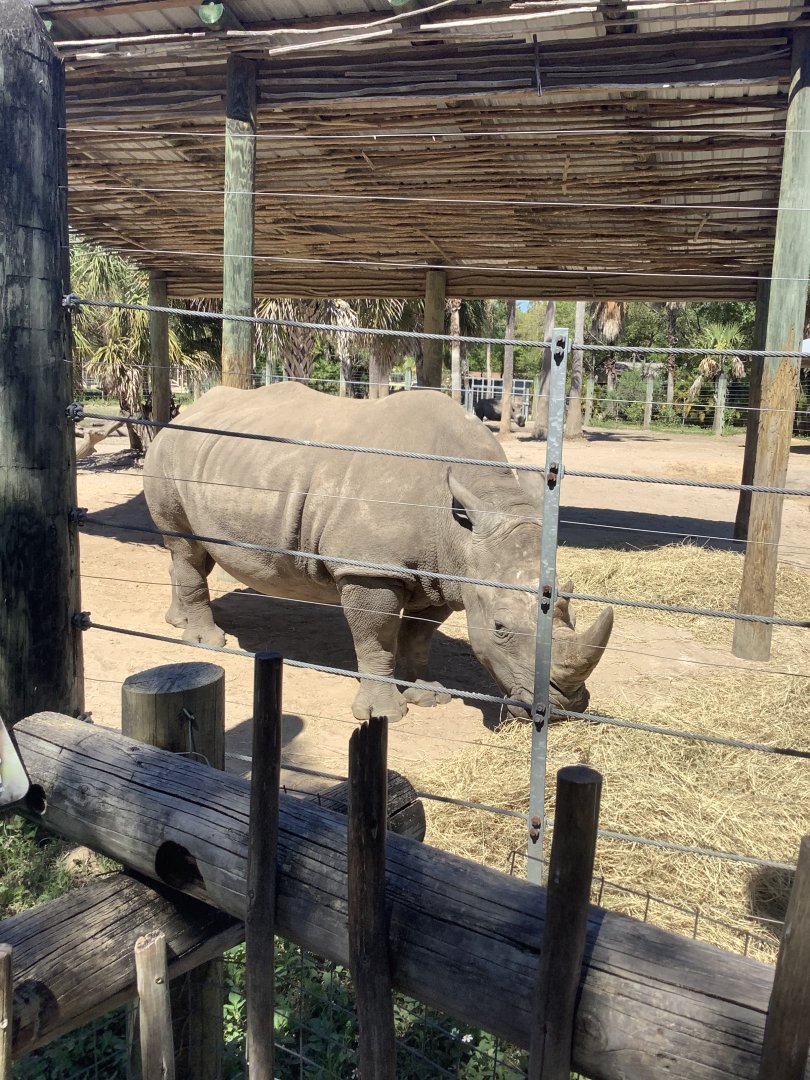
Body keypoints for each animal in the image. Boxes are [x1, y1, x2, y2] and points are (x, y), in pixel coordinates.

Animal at [143, 383, 612, 722]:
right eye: (499, 628)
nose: (565, 708)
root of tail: (183, 415)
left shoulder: (442, 573)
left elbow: (419, 635)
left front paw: (429, 696)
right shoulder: (370, 569)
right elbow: (377, 636)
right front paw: (383, 714)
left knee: (189, 553)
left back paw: (176, 622)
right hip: (166, 453)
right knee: (186, 547)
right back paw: (208, 643)